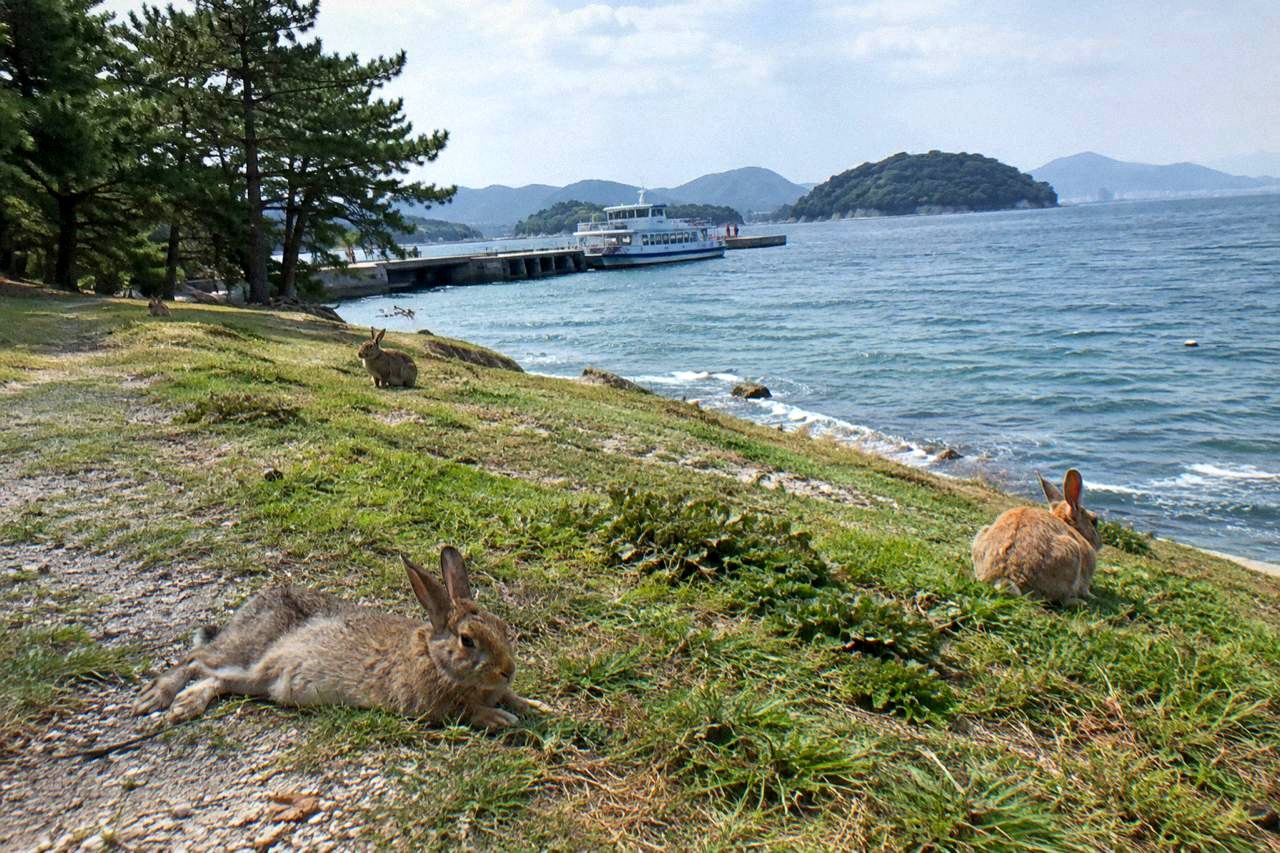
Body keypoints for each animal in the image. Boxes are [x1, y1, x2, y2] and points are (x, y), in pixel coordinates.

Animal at [132, 547, 551, 729]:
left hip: (256, 677)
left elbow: (514, 699)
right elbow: (469, 712)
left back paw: (186, 705)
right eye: (467, 641)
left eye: (501, 626)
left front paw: (537, 706)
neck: (435, 658)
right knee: (196, 661)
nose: (507, 670)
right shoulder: (432, 707)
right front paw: (501, 718)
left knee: (216, 679)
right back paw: (157, 697)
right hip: (247, 650)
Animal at [971, 468, 1102, 605]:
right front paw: (1092, 596)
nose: (1100, 543)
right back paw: (1079, 602)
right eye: (1094, 521)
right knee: (1062, 600)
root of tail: (1009, 576)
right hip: (1071, 554)